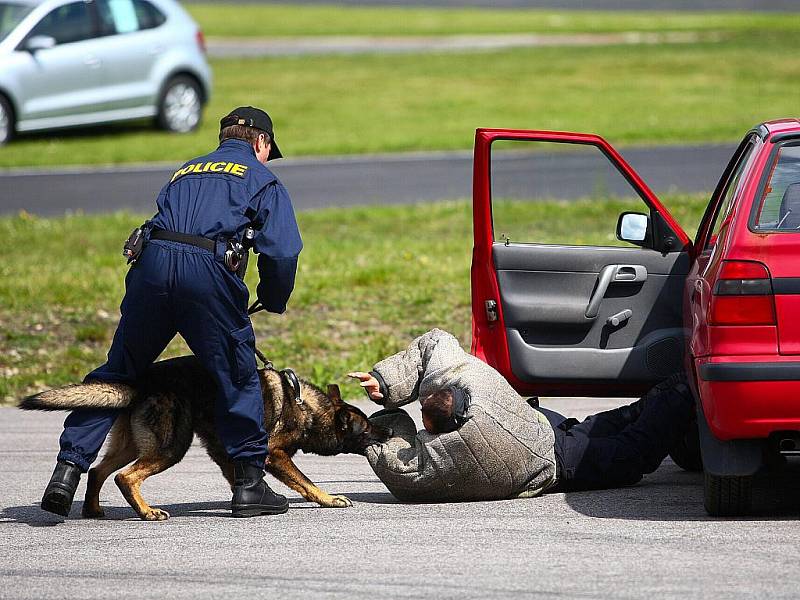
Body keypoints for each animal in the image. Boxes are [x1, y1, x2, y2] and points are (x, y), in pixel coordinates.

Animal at [19, 356, 390, 520]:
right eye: (366, 427)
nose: (387, 431)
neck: (305, 407)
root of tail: (142, 382)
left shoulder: (226, 454)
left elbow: (239, 477)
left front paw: (247, 501)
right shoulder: (274, 454)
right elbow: (306, 482)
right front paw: (328, 498)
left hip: (133, 444)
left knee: (97, 470)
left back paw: (94, 510)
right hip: (171, 445)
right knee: (125, 477)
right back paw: (147, 512)